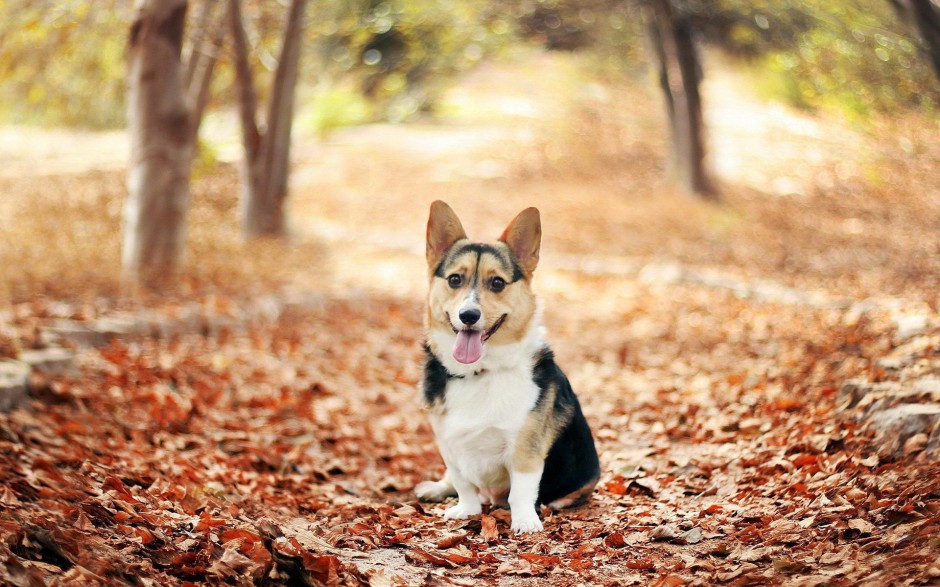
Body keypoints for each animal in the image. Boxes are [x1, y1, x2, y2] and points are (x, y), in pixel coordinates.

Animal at [414, 201, 600, 532]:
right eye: (455, 279)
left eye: (497, 282)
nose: (469, 315)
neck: (479, 371)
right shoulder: (449, 444)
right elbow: (463, 483)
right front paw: (467, 510)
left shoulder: (525, 449)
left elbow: (521, 491)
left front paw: (525, 521)